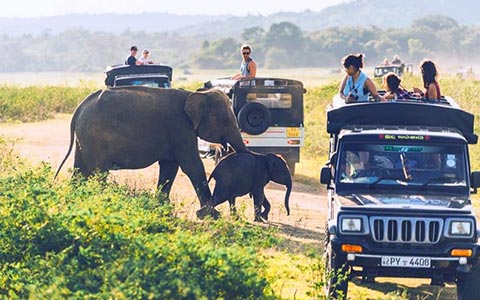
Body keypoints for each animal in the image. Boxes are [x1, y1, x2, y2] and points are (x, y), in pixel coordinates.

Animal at [55, 85, 248, 217]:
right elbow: (192, 166)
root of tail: (79, 108)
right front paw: (212, 216)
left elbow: (170, 167)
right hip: (95, 137)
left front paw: (163, 209)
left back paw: (75, 201)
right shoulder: (180, 127)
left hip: (84, 138)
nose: (235, 216)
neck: (196, 94)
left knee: (80, 170)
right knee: (98, 172)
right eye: (225, 120)